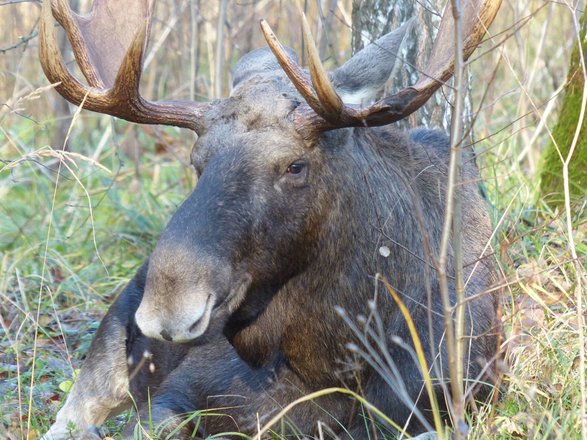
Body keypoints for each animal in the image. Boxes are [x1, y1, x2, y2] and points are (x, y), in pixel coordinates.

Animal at [40, 0, 500, 438]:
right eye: (197, 161)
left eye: (295, 166)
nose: (167, 308)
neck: (333, 361)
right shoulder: (173, 393)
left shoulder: (441, 399)